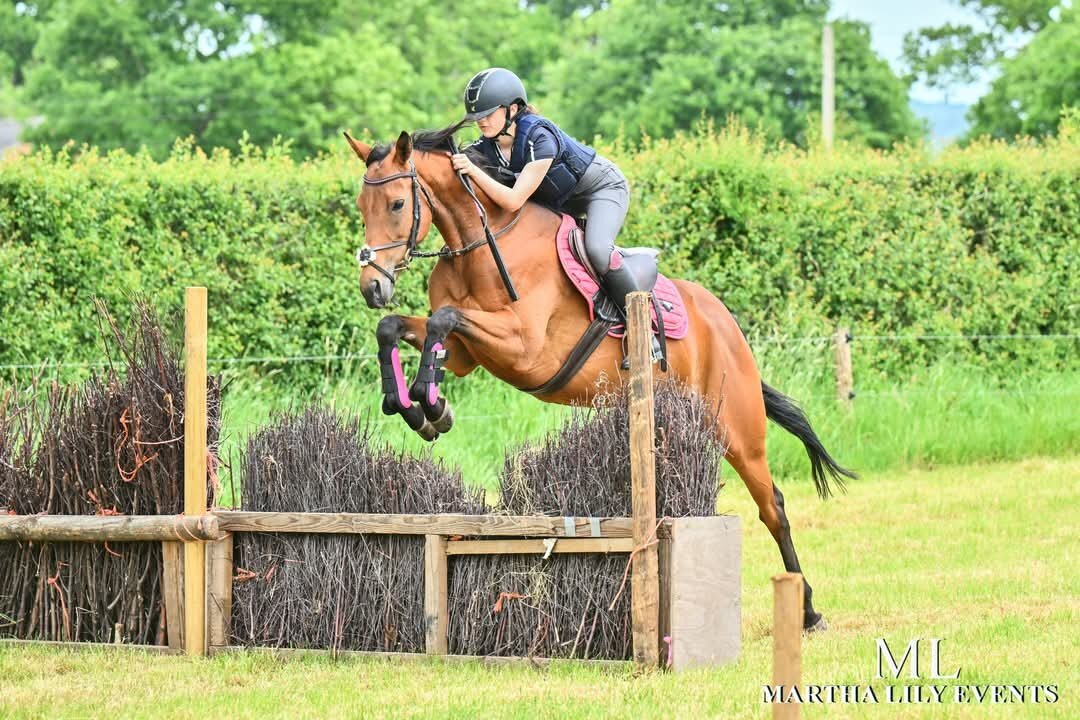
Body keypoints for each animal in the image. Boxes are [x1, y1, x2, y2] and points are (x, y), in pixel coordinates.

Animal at [345, 127, 855, 631]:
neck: (480, 246)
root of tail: (727, 325)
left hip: (737, 430)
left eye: (396, 204)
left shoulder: (523, 348)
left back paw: (809, 612)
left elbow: (443, 318)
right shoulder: (468, 355)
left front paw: (429, 406)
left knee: (774, 507)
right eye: (361, 206)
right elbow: (397, 327)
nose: (373, 287)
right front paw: (417, 408)